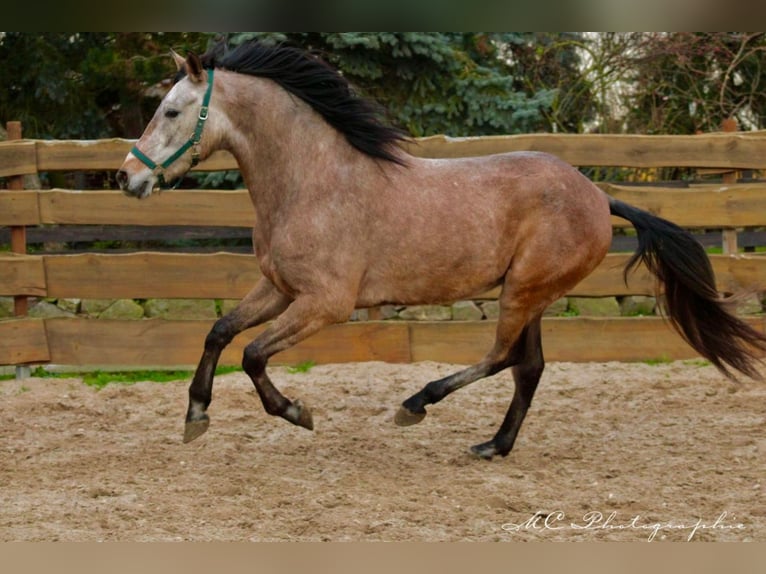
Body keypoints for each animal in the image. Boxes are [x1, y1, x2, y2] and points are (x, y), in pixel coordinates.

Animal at [115, 40, 766, 462]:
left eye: (171, 110)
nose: (127, 178)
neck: (311, 179)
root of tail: (597, 195)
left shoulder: (325, 304)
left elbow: (252, 355)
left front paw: (298, 413)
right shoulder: (279, 289)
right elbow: (219, 332)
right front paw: (195, 417)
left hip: (524, 289)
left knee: (503, 357)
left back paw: (416, 404)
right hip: (532, 294)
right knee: (528, 367)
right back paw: (493, 446)